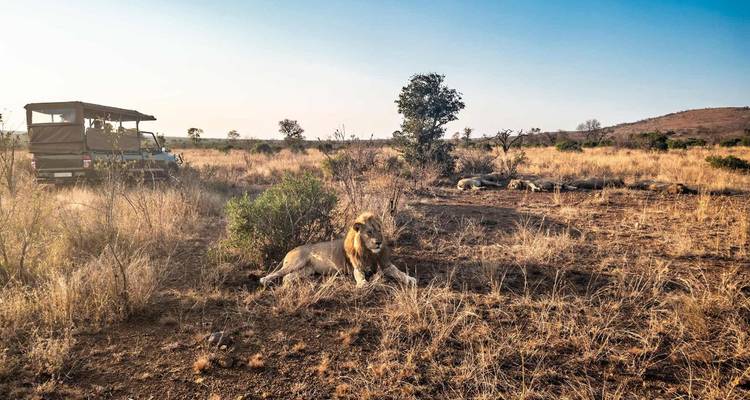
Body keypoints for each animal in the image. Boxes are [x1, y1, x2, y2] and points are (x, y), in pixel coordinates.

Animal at [258, 212, 417, 288]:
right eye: (369, 232)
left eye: (379, 230)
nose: (379, 242)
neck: (370, 252)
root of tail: (290, 251)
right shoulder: (357, 267)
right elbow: (359, 275)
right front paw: (363, 284)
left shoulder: (386, 265)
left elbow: (399, 272)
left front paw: (410, 279)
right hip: (296, 262)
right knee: (276, 274)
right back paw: (264, 281)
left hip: (307, 270)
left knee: (287, 277)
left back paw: (294, 283)